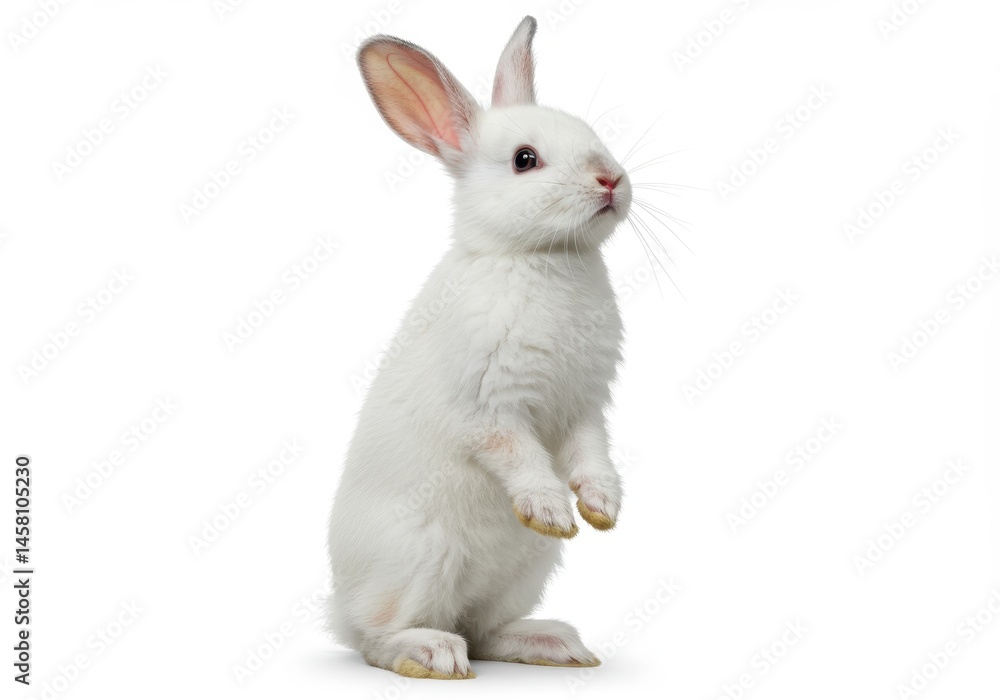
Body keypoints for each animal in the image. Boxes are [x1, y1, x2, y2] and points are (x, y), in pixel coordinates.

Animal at [328, 15, 632, 680]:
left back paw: (555, 644)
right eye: (525, 160)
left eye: (592, 134)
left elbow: (591, 452)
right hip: (421, 557)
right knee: (378, 638)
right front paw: (552, 508)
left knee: (485, 631)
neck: (538, 257)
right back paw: (433, 654)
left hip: (525, 572)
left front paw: (601, 507)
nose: (612, 179)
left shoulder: (584, 405)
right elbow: (518, 454)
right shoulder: (489, 406)